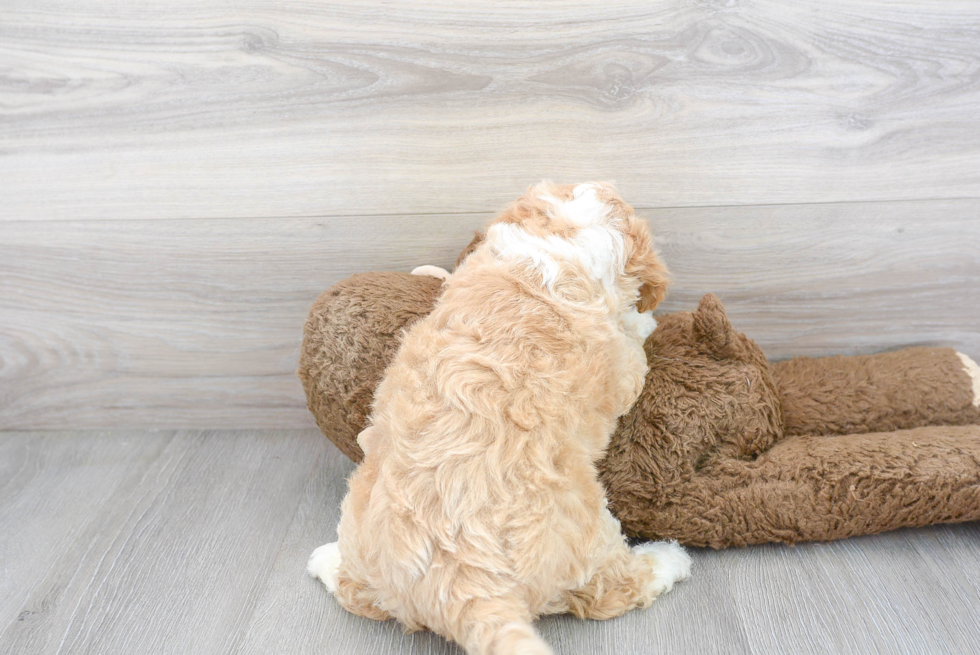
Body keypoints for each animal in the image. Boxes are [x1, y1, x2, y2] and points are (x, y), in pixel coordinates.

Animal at [308, 182, 688, 652]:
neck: (557, 243)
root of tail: (462, 579)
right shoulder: (623, 367)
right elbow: (633, 343)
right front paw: (645, 319)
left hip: (364, 536)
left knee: (356, 591)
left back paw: (325, 559)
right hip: (584, 535)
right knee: (612, 589)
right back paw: (670, 557)